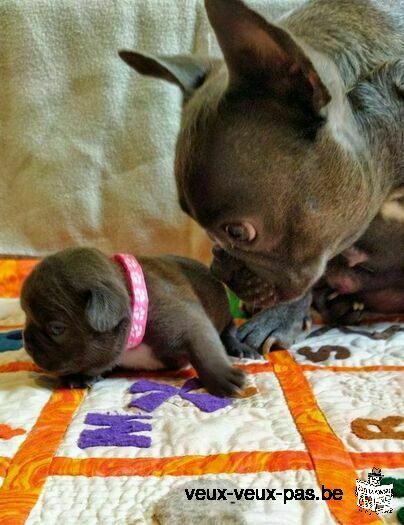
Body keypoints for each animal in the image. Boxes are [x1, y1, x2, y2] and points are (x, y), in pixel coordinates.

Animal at [21, 248, 256, 396]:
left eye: (56, 329)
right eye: (25, 314)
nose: (28, 343)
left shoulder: (185, 322)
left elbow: (205, 349)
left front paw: (223, 377)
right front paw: (79, 376)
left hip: (223, 312)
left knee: (228, 331)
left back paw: (240, 348)